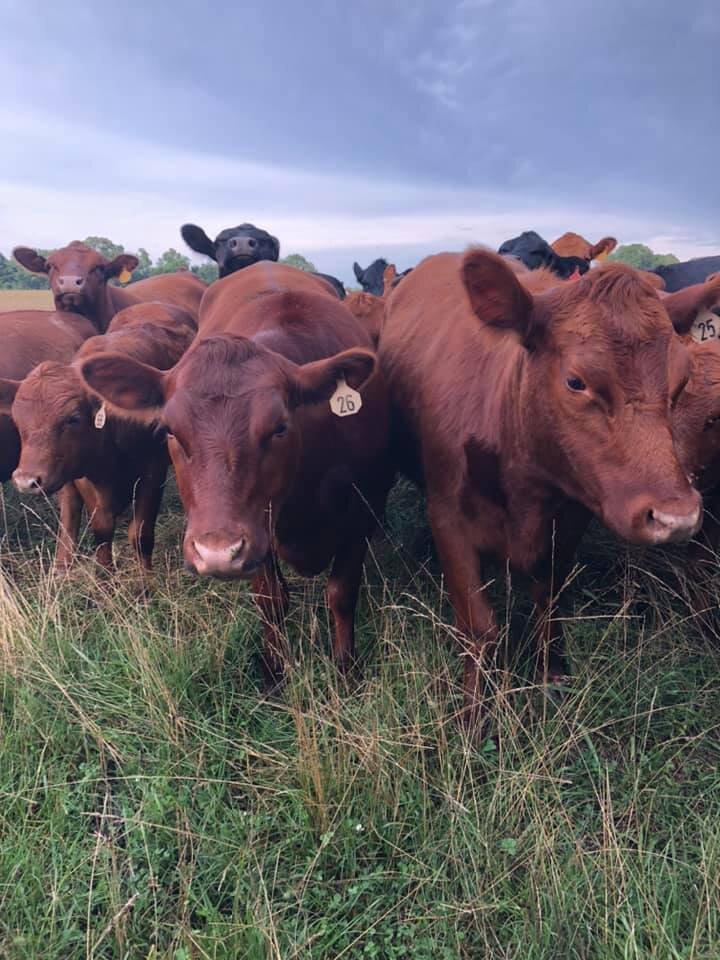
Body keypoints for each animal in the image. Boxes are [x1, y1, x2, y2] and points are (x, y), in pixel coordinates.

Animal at [0, 302, 196, 573]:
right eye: (18, 421)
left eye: (73, 418)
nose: (26, 481)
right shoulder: (84, 476)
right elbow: (101, 529)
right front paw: (105, 574)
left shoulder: (153, 471)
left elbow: (141, 533)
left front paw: (145, 579)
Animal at [79, 262, 393, 685]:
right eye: (169, 431)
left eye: (279, 427)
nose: (216, 553)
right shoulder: (260, 531)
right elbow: (271, 599)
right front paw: (275, 670)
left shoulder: (365, 507)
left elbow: (342, 593)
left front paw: (346, 670)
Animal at [379, 248, 712, 723]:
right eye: (576, 381)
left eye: (681, 382)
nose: (676, 517)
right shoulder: (449, 519)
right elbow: (479, 625)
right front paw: (474, 715)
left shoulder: (570, 520)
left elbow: (550, 602)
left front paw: (552, 676)